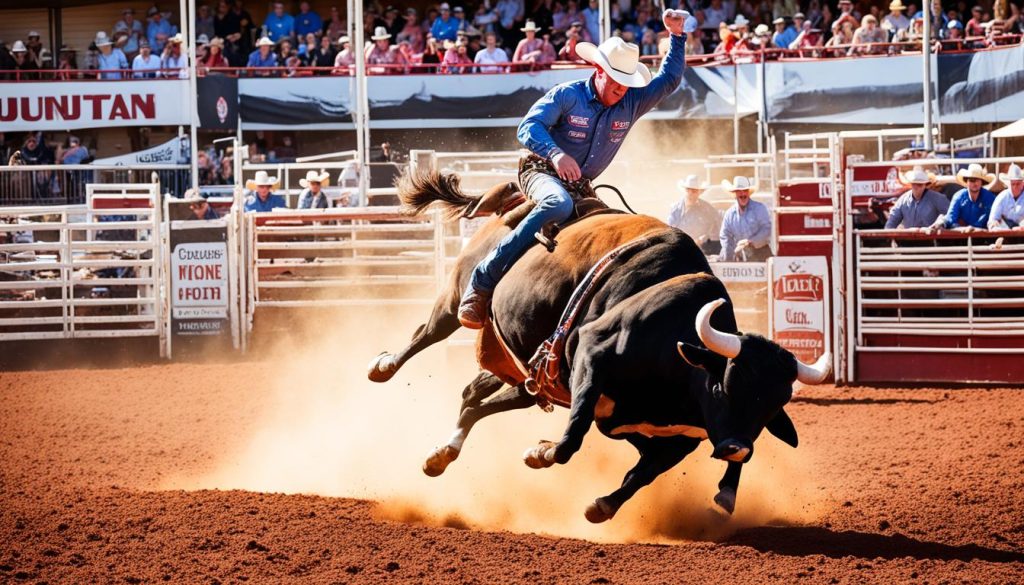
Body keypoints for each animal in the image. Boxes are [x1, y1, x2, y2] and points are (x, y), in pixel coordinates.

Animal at [368, 173, 831, 522]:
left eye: (771, 407)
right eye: (722, 386)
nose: (737, 448)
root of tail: (516, 202)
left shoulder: (666, 433)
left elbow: (642, 474)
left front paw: (601, 507)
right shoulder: (593, 360)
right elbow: (571, 440)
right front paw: (540, 452)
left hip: (528, 376)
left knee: (473, 397)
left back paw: (441, 453)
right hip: (458, 295)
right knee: (426, 334)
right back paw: (384, 366)